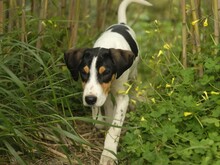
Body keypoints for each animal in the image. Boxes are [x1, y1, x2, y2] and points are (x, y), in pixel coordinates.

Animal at [64, 0, 152, 164]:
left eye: (106, 72)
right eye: (84, 73)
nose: (89, 100)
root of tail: (121, 23)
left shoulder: (122, 96)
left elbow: (115, 128)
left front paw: (108, 154)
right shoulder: (96, 92)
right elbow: (102, 111)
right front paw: (100, 119)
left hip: (133, 74)